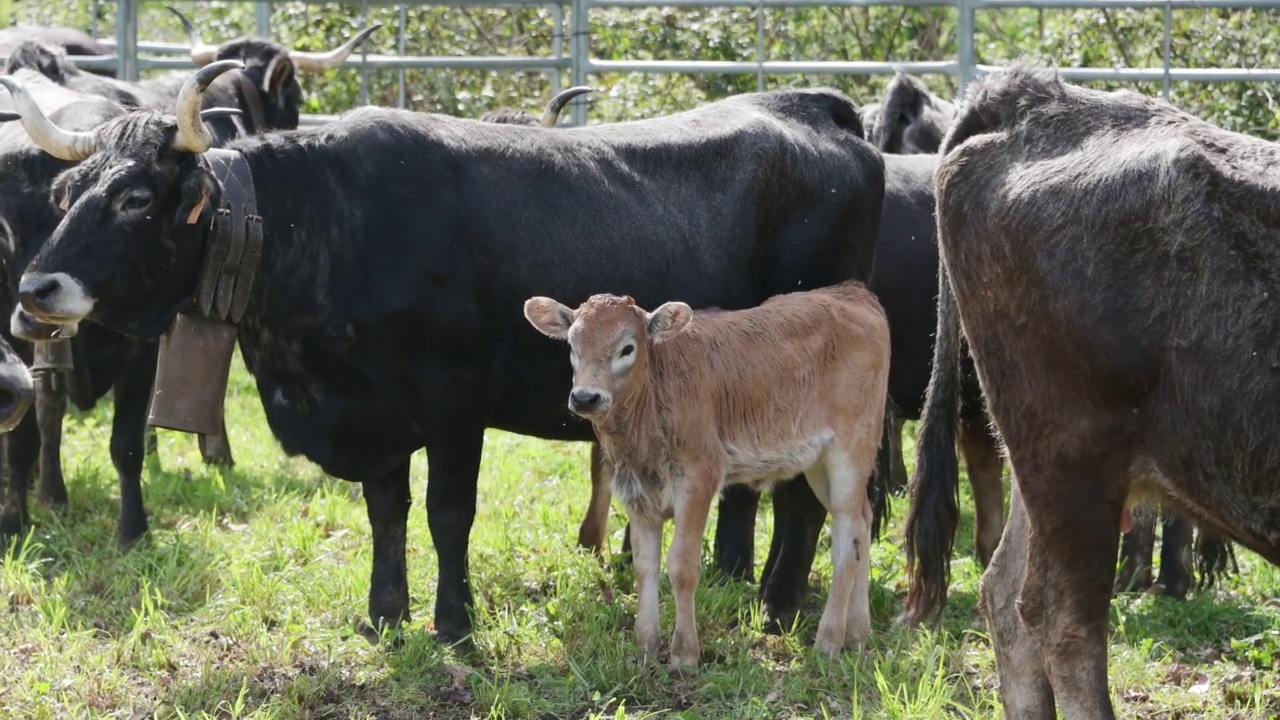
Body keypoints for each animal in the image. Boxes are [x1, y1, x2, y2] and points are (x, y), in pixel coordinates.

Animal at [522, 280, 890, 666]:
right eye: (573, 347)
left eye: (627, 348)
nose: (585, 398)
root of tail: (852, 292)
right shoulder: (636, 490)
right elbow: (644, 565)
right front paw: (645, 646)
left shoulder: (698, 478)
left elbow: (682, 565)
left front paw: (684, 654)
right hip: (819, 464)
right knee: (862, 523)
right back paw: (858, 633)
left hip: (850, 450)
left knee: (846, 542)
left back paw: (828, 642)